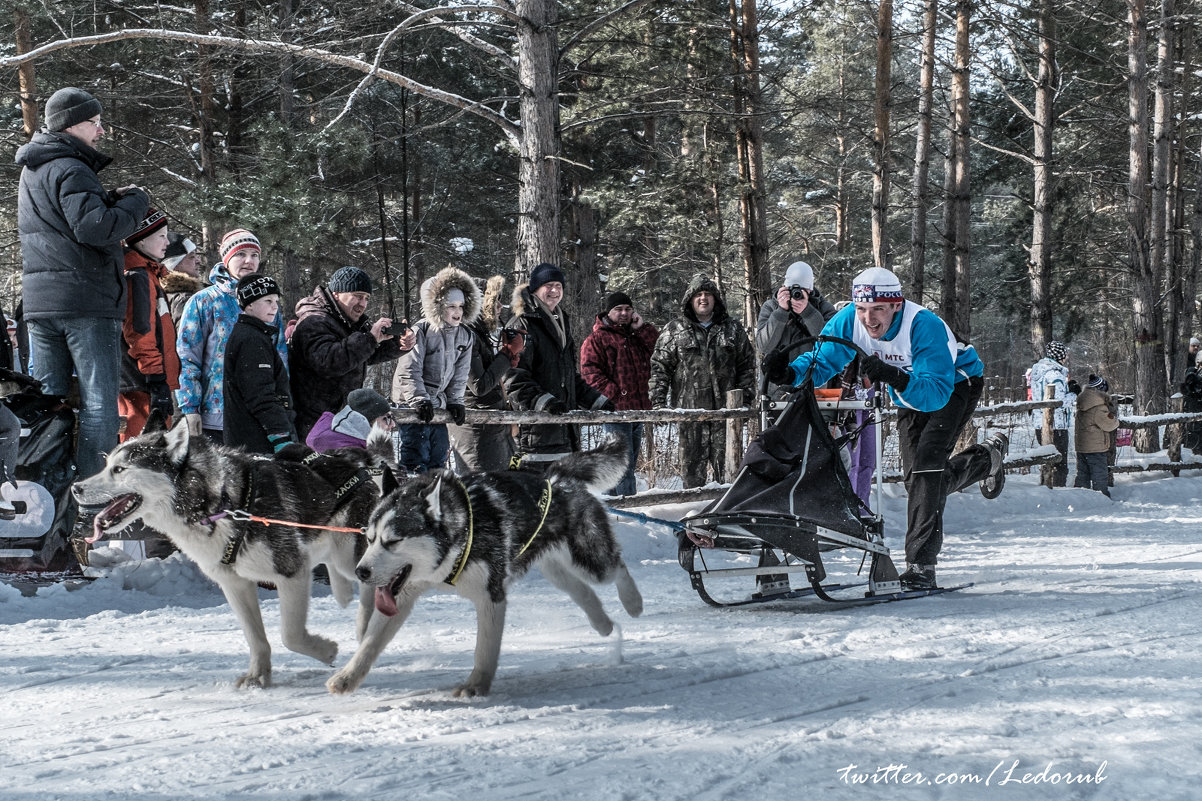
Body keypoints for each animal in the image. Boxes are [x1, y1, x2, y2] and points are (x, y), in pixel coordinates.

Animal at [72, 423, 389, 687]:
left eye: (120, 469)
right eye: (107, 465)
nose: (75, 487)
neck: (221, 504)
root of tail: (353, 458)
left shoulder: (291, 573)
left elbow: (290, 635)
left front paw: (326, 651)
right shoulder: (234, 584)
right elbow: (256, 638)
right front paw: (258, 676)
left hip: (352, 555)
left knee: (369, 587)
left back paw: (363, 624)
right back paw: (344, 593)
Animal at [324, 432, 644, 697]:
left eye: (392, 541)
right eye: (369, 538)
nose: (361, 572)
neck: (462, 533)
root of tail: (556, 476)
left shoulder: (491, 596)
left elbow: (484, 649)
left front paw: (476, 685)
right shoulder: (400, 595)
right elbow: (370, 642)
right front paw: (348, 677)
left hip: (589, 559)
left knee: (616, 566)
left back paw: (633, 603)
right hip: (554, 569)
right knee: (582, 591)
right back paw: (603, 624)